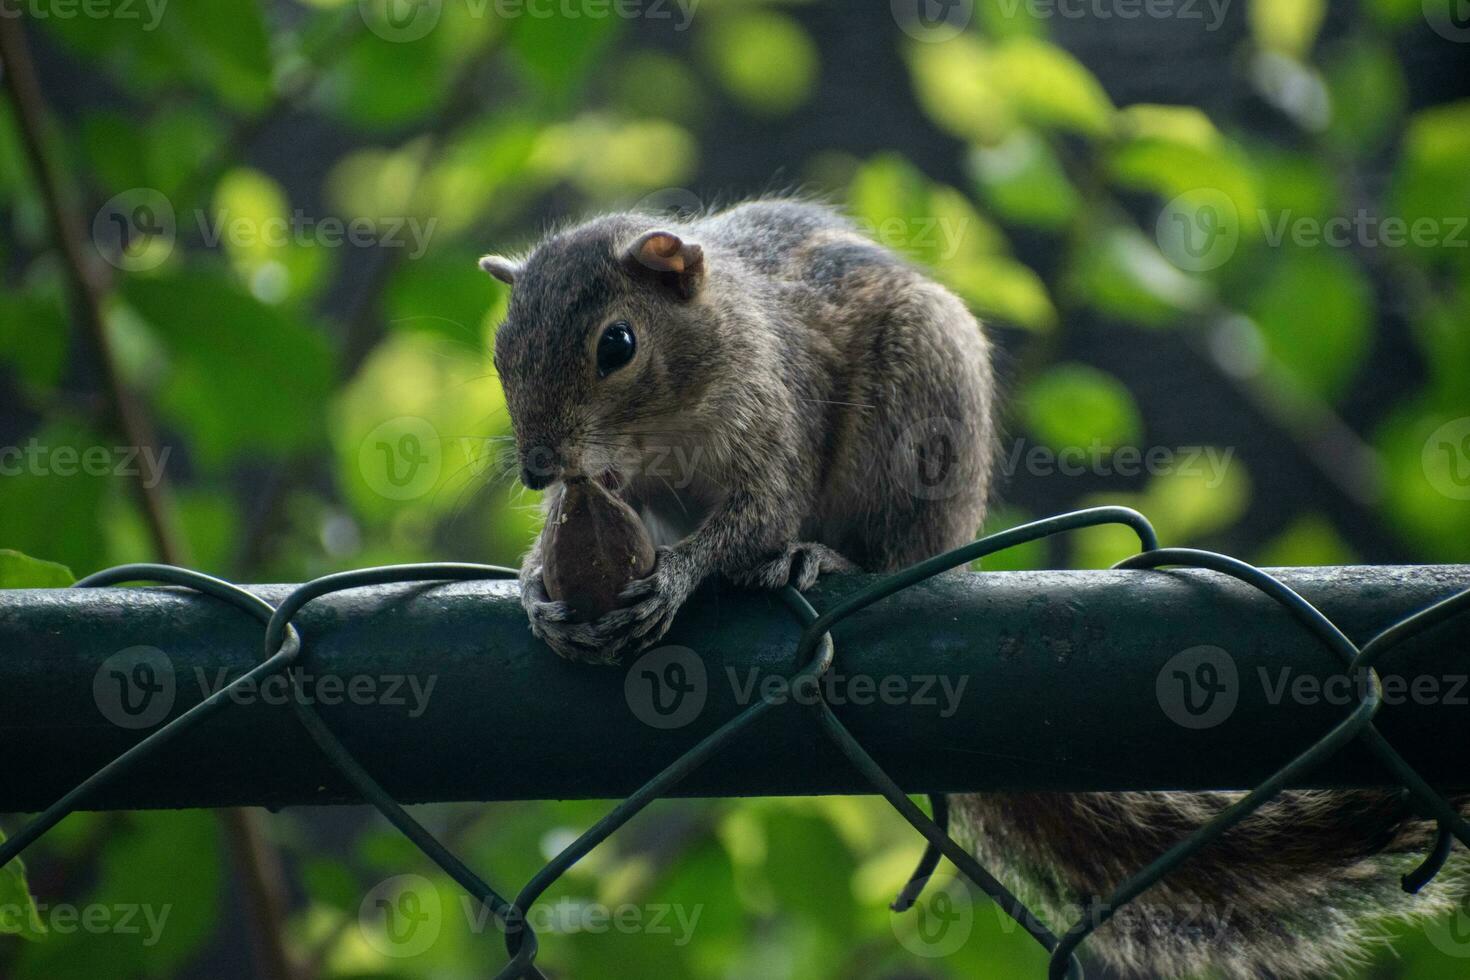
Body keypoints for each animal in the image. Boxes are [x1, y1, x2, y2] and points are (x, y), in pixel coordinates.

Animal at [479, 201, 1458, 980]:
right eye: (500, 350)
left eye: (617, 345)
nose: (537, 468)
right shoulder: (615, 485)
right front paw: (535, 587)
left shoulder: (772, 414)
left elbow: (752, 520)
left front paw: (678, 578)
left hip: (919, 406)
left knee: (884, 546)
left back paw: (823, 562)